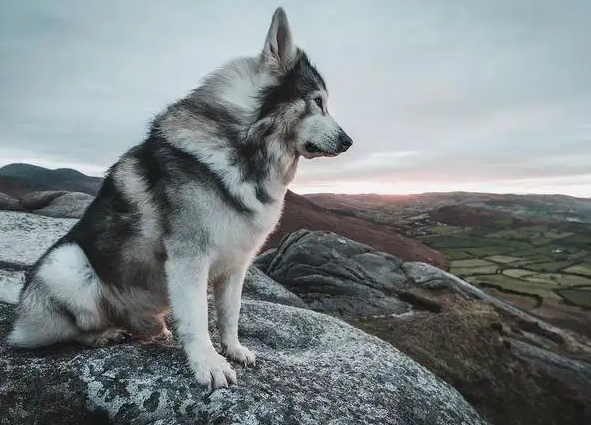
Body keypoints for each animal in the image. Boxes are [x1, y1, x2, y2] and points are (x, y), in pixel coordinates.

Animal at [5, 6, 352, 390]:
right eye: (318, 102)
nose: (348, 141)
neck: (244, 146)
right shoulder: (190, 258)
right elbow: (198, 318)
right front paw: (208, 363)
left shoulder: (237, 264)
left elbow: (231, 314)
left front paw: (233, 349)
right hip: (67, 264)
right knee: (66, 331)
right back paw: (101, 334)